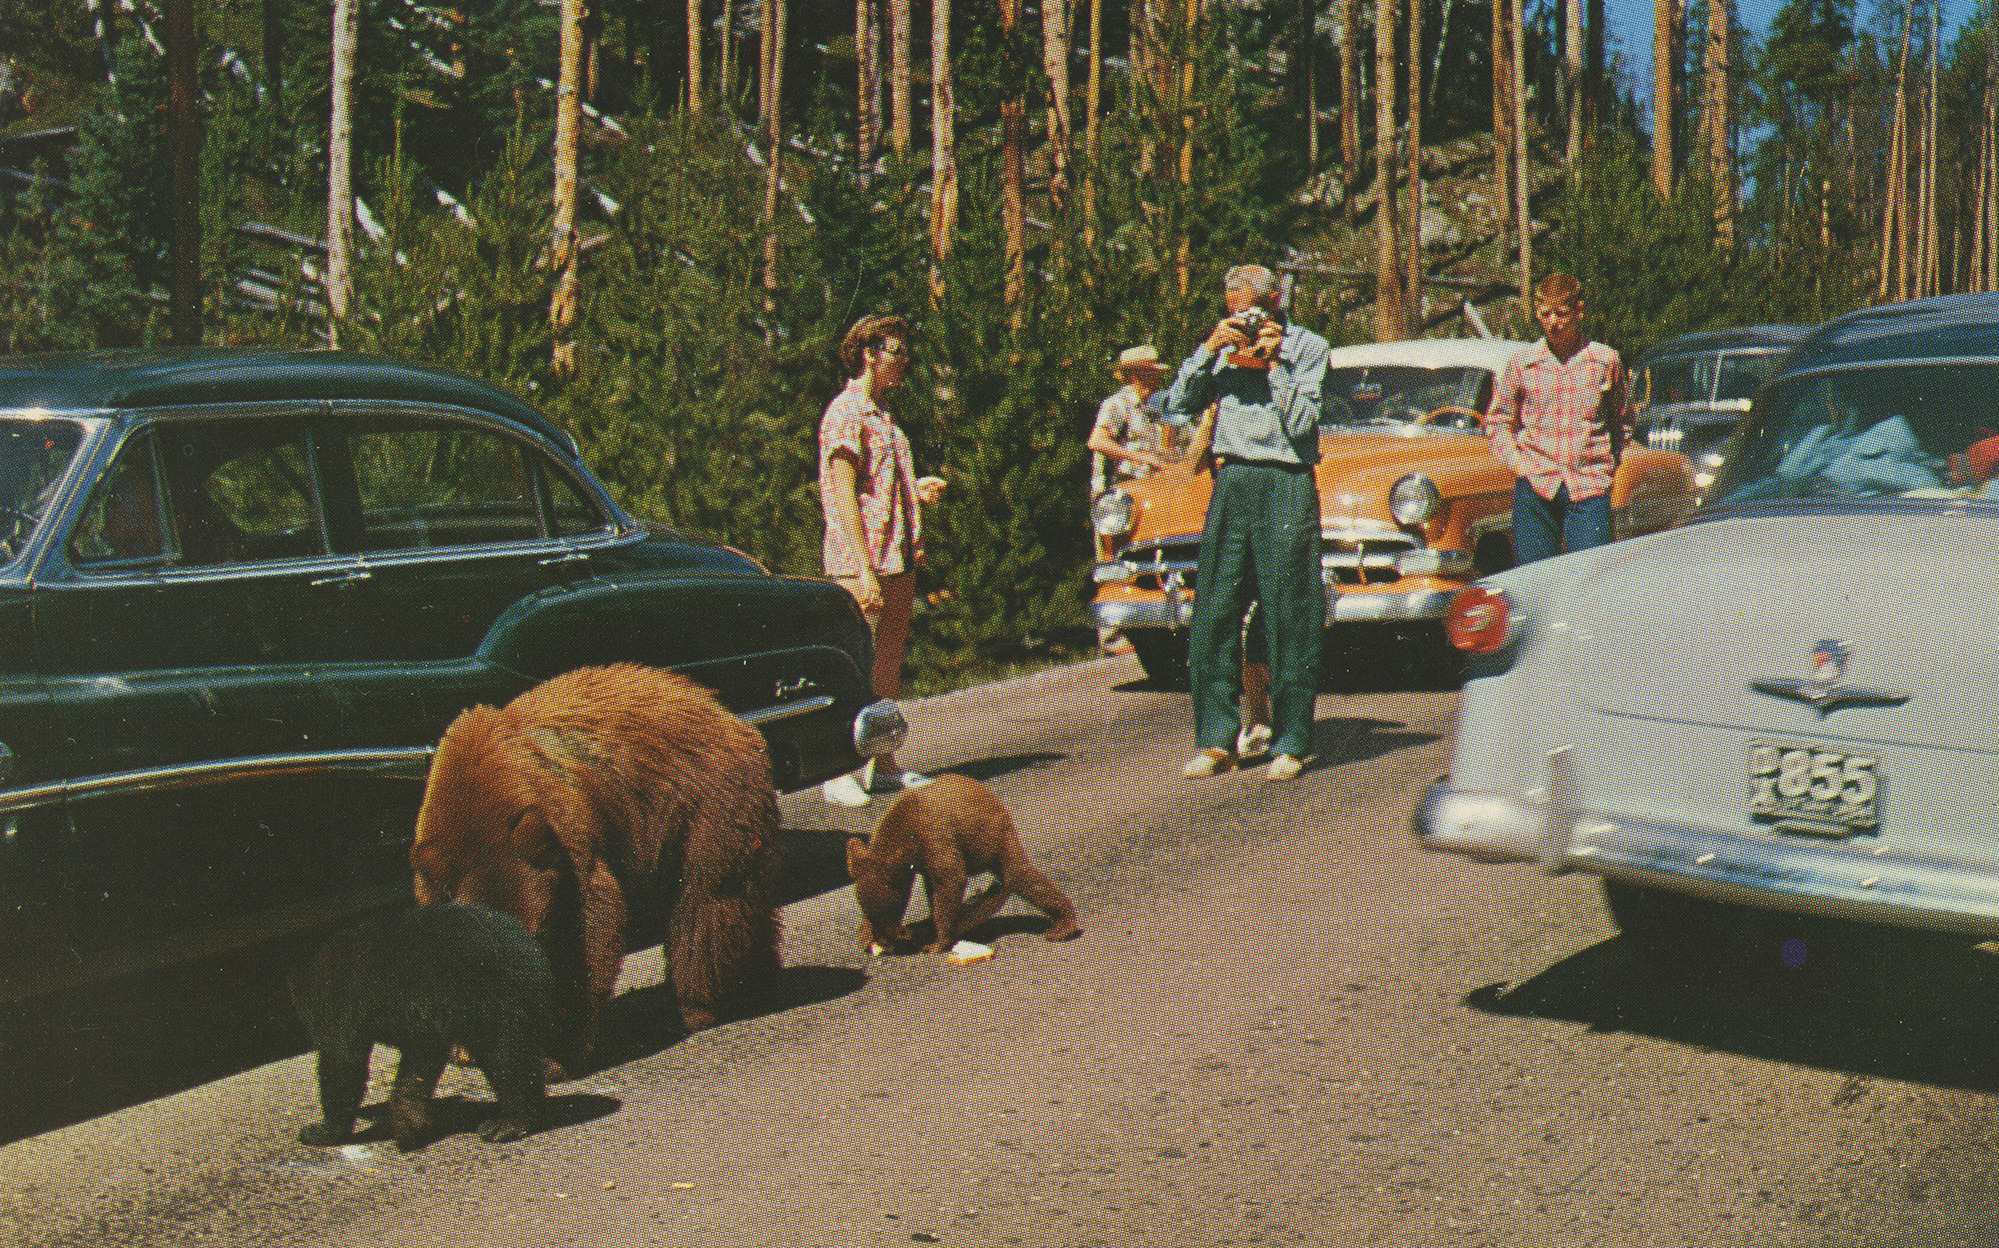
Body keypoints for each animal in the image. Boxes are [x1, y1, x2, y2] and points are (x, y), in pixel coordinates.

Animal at [407, 664, 779, 1072]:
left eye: (536, 932)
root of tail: (730, 717)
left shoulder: (564, 831)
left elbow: (589, 924)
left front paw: (556, 1051)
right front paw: (467, 1045)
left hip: (706, 803)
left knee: (707, 904)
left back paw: (696, 1005)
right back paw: (758, 979)